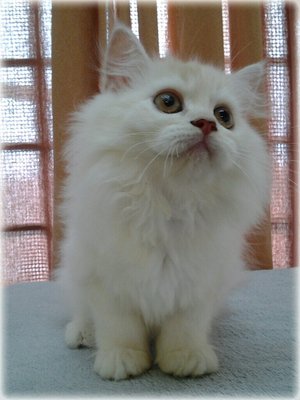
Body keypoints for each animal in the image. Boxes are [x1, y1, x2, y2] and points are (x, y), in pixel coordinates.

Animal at [59, 25, 270, 382]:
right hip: (74, 272)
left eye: (224, 116)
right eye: (168, 102)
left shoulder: (199, 283)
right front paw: (122, 363)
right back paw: (82, 335)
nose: (207, 124)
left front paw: (186, 360)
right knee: (81, 312)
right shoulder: (106, 281)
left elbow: (185, 328)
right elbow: (119, 329)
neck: (170, 202)